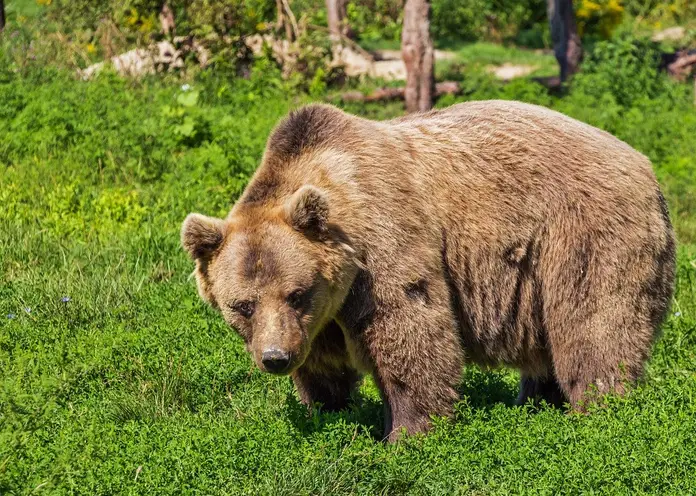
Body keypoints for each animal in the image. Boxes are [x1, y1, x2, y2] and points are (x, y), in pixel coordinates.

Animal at [179, 101, 676, 442]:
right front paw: (329, 410)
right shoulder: (320, 315)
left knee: (594, 326)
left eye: (296, 293)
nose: (275, 358)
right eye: (242, 305)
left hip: (583, 235)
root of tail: (646, 165)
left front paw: (406, 433)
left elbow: (409, 331)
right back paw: (536, 402)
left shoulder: (383, 245)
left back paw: (596, 409)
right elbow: (323, 364)